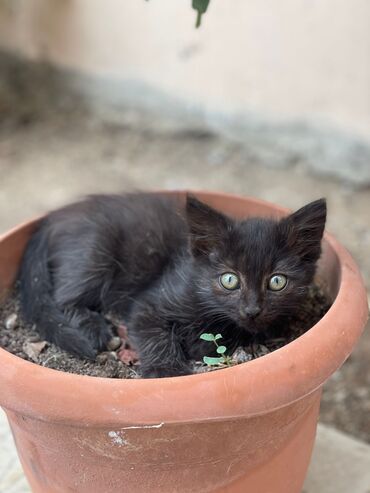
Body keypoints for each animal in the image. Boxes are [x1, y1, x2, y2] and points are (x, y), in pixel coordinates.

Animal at [19, 192, 326, 376]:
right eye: (229, 280)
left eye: (277, 281)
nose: (252, 310)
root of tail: (51, 219)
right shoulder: (148, 304)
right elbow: (155, 334)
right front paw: (167, 371)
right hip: (94, 251)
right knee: (65, 298)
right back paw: (94, 328)